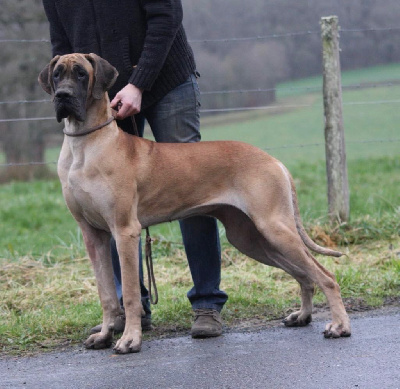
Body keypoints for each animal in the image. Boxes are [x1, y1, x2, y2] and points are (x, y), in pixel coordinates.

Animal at [37, 53, 350, 354]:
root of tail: (274, 160)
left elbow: (129, 294)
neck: (85, 145)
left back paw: (339, 325)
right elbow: (106, 295)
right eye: (57, 74)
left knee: (325, 275)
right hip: (251, 238)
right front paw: (104, 334)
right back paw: (303, 315)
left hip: (275, 229)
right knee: (304, 275)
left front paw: (130, 340)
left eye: (81, 73)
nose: (62, 95)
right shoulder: (94, 236)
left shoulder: (125, 231)